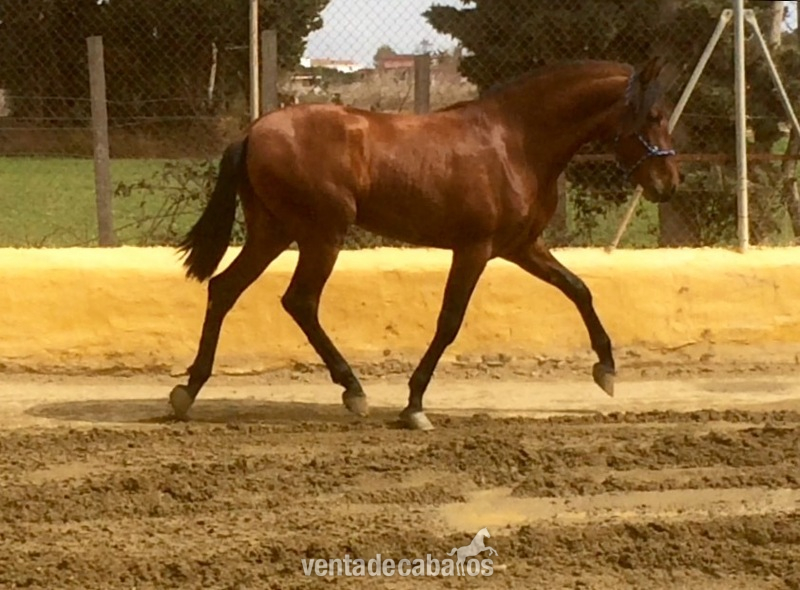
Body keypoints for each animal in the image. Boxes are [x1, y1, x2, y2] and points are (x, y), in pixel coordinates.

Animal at [168, 57, 681, 431]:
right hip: (321, 233)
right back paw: (352, 390)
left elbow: (578, 288)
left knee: (225, 289)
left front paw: (606, 370)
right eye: (654, 115)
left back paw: (188, 391)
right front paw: (414, 405)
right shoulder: (475, 248)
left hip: (274, 232)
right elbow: (450, 321)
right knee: (300, 300)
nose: (669, 183)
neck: (515, 142)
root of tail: (253, 132)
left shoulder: (520, 247)